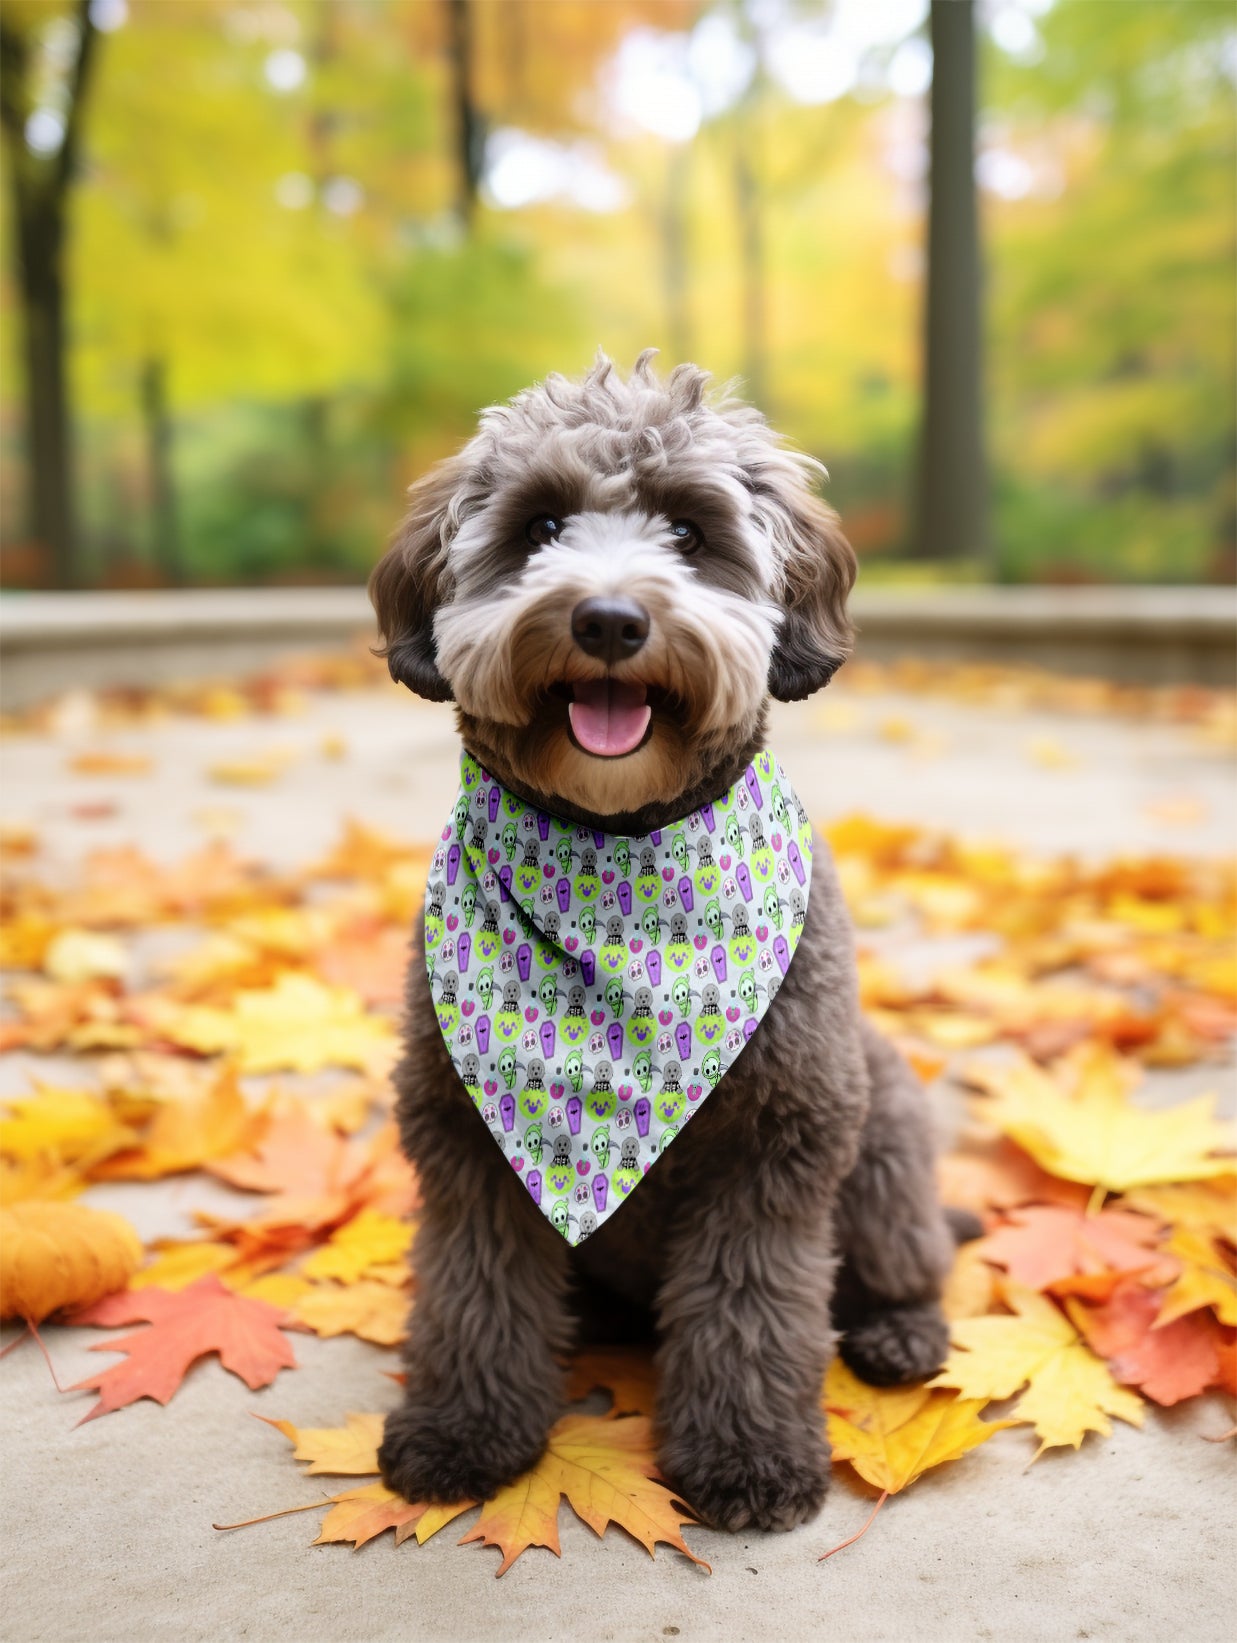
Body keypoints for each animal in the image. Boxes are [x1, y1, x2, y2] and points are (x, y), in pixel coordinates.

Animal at [371, 353, 959, 1531]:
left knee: (909, 1258)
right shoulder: (464, 1137)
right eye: (540, 525)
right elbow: (472, 1289)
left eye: (689, 530)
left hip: (880, 1132)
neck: (615, 850)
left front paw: (747, 1455)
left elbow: (750, 1306)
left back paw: (897, 1331)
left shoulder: (778, 1139)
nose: (605, 620)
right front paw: (464, 1429)